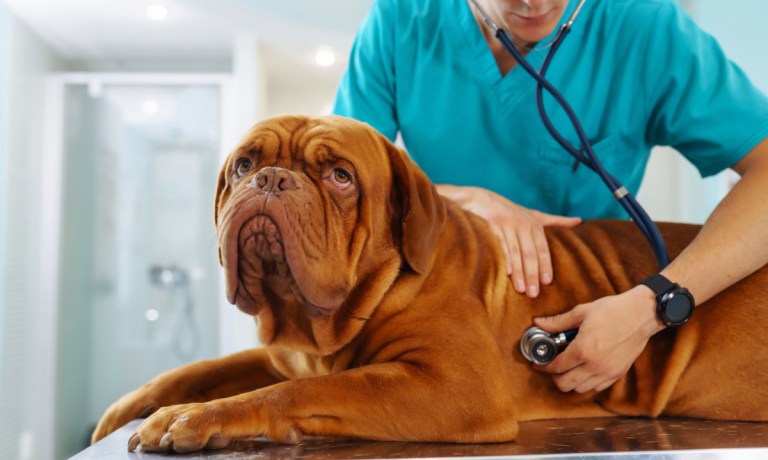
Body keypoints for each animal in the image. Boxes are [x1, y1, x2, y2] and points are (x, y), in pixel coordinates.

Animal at [91, 115, 768, 452]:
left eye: (340, 176)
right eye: (244, 164)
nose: (272, 180)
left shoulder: (452, 386)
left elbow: (290, 392)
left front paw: (193, 419)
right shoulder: (284, 354)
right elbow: (203, 369)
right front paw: (130, 408)